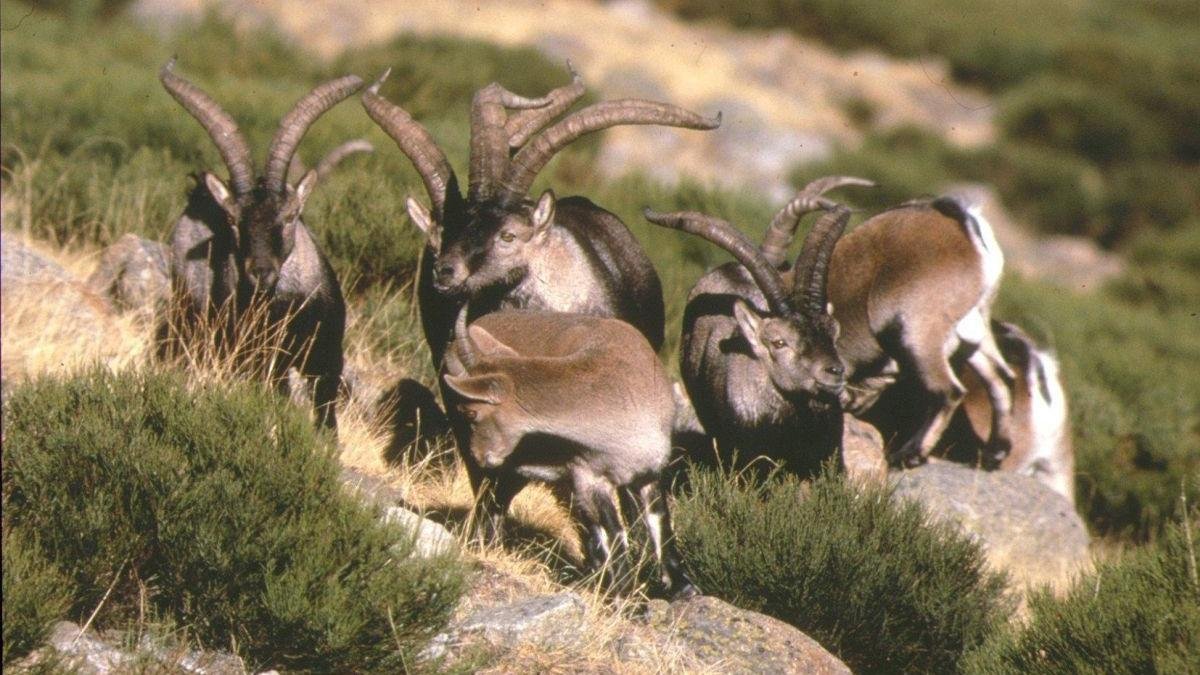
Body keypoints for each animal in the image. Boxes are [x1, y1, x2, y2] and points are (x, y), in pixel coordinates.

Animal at [158, 59, 360, 431]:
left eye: (291, 215)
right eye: (233, 220)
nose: (260, 272)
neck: (288, 305)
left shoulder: (327, 360)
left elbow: (327, 420)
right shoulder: (265, 363)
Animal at [443, 308, 697, 599]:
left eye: (472, 412)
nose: (480, 454)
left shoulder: (649, 473)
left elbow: (659, 523)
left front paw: (682, 587)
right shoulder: (589, 477)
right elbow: (614, 532)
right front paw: (627, 596)